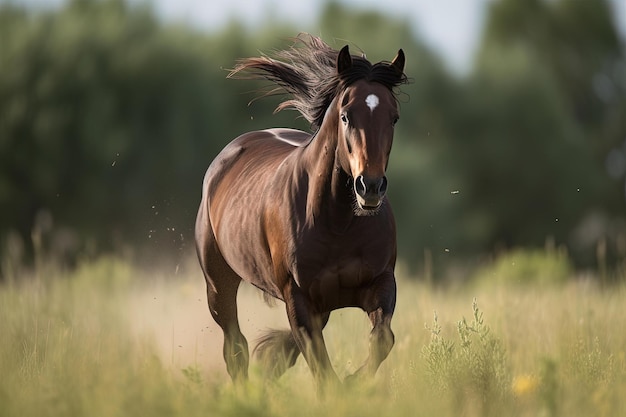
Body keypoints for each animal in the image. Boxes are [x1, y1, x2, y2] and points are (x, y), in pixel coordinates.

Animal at [196, 33, 410, 386]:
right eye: (346, 115)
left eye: (394, 117)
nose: (370, 186)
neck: (338, 223)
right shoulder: (299, 300)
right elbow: (320, 367)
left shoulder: (380, 285)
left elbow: (382, 340)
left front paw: (353, 383)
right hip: (218, 283)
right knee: (235, 348)